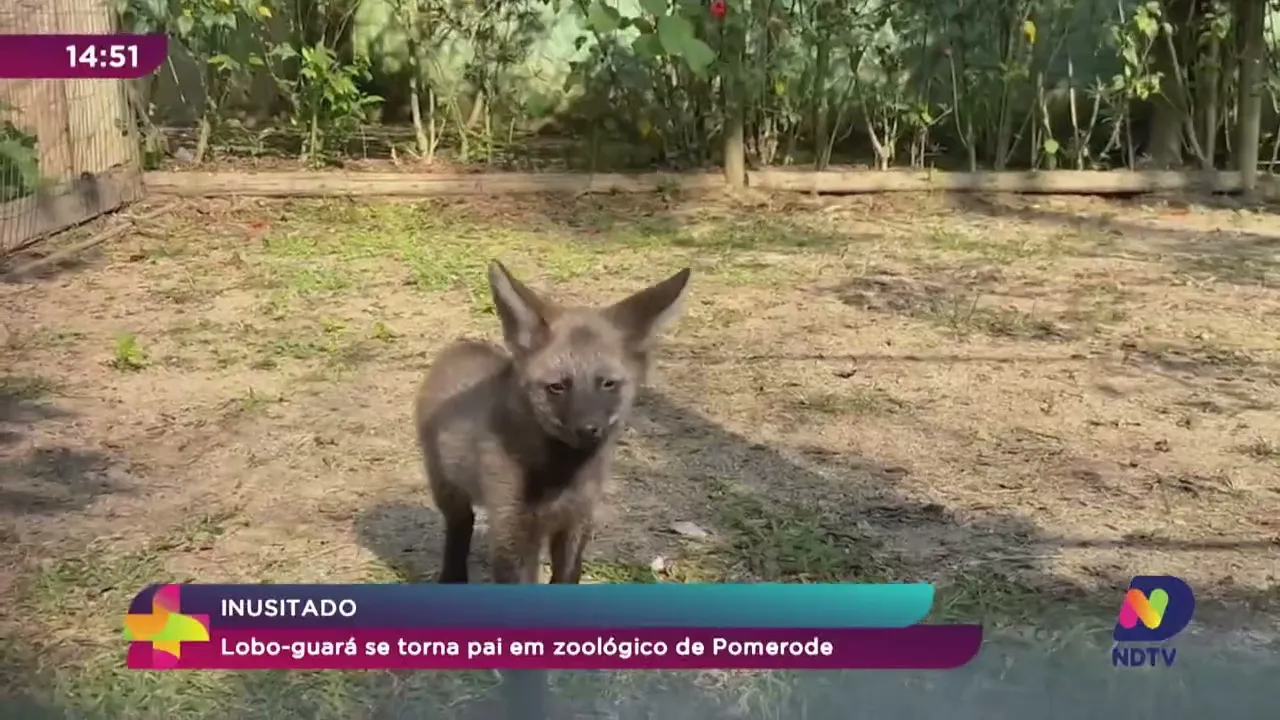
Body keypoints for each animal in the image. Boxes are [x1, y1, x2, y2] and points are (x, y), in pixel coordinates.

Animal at [412, 260, 691, 718]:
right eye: (558, 386)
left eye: (607, 384)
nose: (589, 430)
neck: (561, 479)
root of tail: (461, 347)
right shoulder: (515, 534)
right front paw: (529, 698)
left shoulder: (577, 520)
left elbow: (566, 585)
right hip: (449, 491)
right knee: (459, 529)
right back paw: (452, 582)